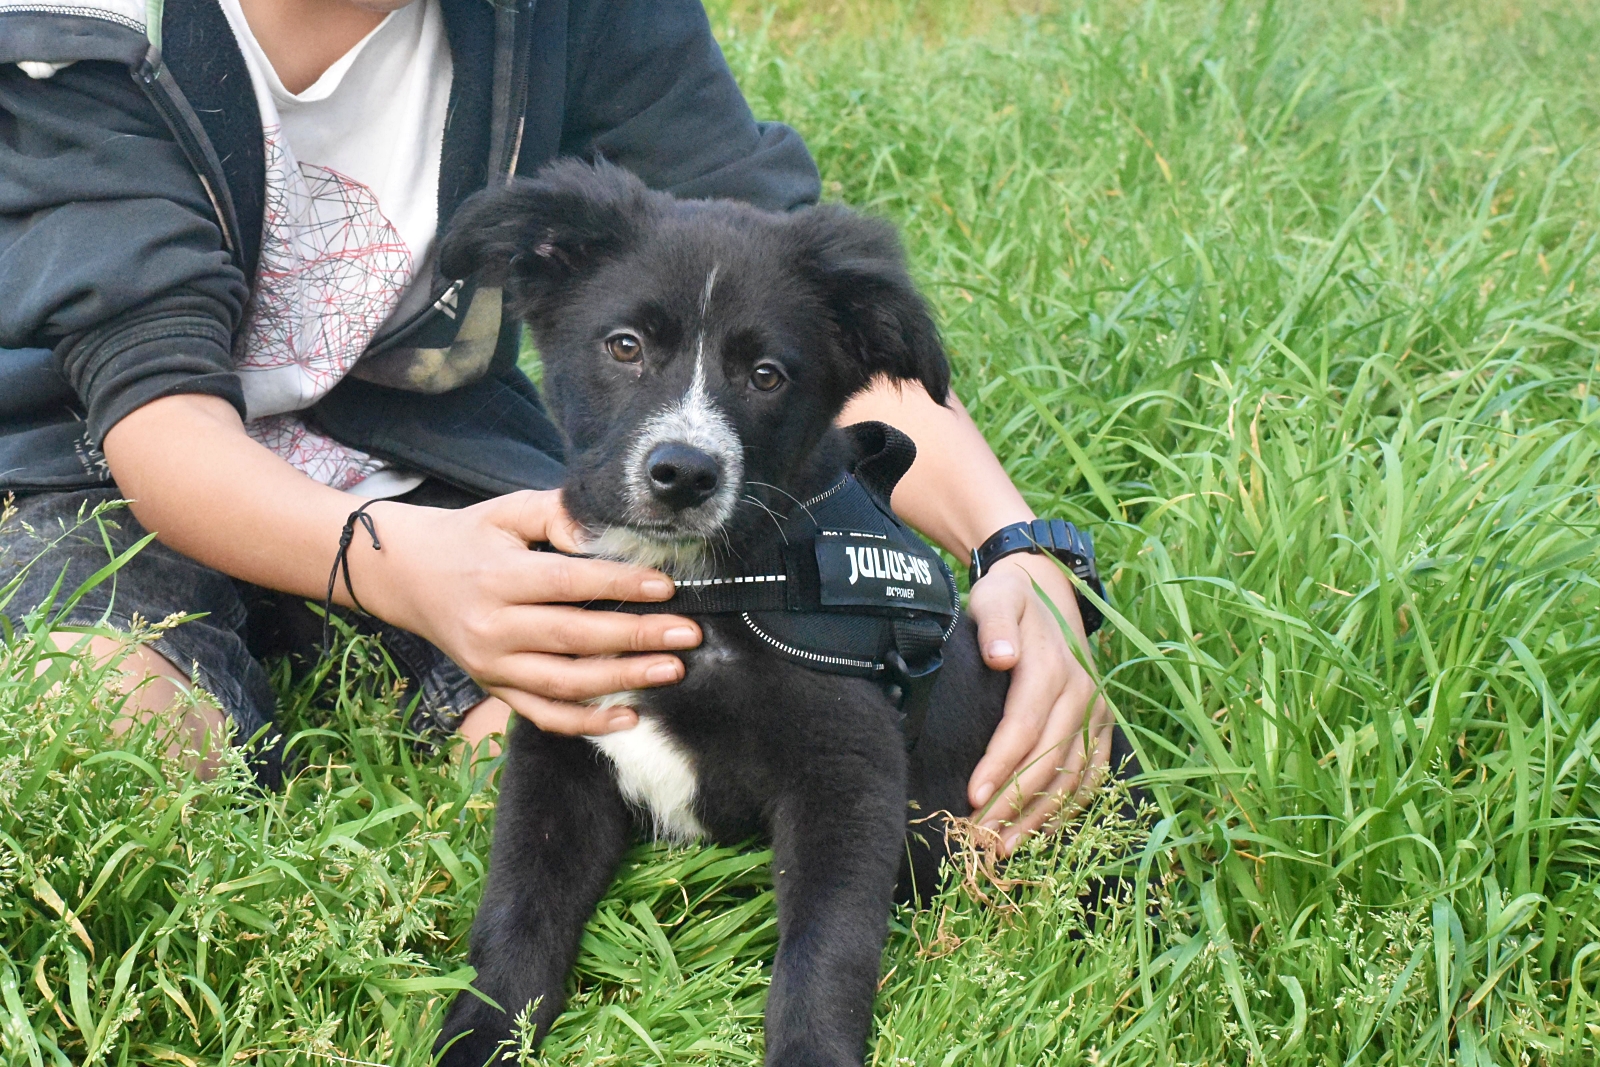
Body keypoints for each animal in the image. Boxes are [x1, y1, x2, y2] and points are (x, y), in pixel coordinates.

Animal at [431, 161, 1034, 1067]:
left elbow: (826, 947)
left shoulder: (849, 777)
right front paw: (483, 1031)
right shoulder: (560, 744)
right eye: (625, 345)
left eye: (766, 375)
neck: (697, 592)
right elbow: (519, 903)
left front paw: (811, 1053)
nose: (683, 474)